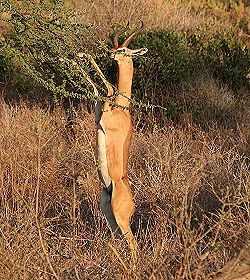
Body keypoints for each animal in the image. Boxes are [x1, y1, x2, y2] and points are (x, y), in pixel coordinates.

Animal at [78, 21, 147, 254]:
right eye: (115, 46)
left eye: (124, 50)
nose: (111, 53)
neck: (122, 107)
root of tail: (134, 205)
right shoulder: (98, 114)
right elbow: (96, 88)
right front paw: (75, 56)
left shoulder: (105, 119)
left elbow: (107, 84)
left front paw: (80, 55)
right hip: (109, 214)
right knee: (117, 239)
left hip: (120, 218)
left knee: (133, 245)